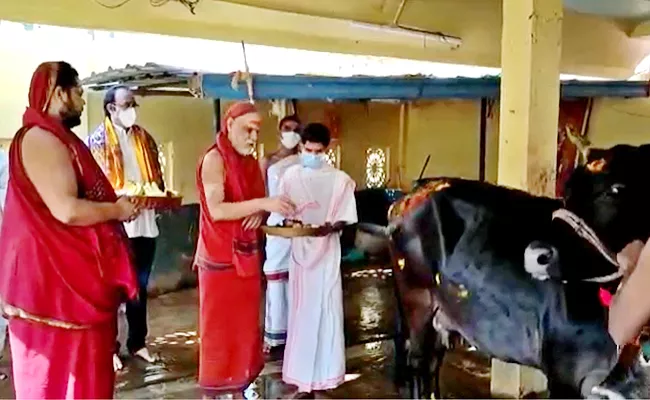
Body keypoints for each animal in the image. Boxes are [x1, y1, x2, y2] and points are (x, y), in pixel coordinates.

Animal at [360, 143, 650, 396]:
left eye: (616, 189)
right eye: (568, 190)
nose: (536, 255)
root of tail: (413, 192)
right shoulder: (563, 373)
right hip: (417, 300)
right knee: (420, 365)